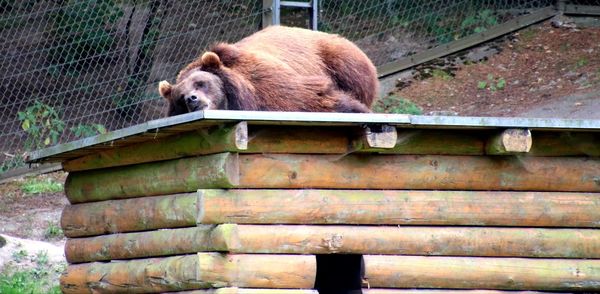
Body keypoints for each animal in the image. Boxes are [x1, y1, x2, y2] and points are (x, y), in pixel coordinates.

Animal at [157, 25, 378, 115]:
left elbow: (316, 100)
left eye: (201, 83)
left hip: (336, 56)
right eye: (180, 97)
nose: (191, 99)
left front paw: (358, 111)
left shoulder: (268, 86)